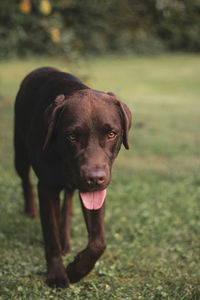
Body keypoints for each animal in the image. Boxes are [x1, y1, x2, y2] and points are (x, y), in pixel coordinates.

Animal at [14, 67, 133, 288]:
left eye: (111, 134)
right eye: (71, 136)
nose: (95, 177)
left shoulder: (97, 192)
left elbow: (98, 242)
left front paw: (76, 270)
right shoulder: (47, 188)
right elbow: (50, 237)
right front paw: (57, 275)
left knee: (68, 199)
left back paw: (65, 238)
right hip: (20, 153)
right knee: (25, 180)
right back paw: (30, 210)